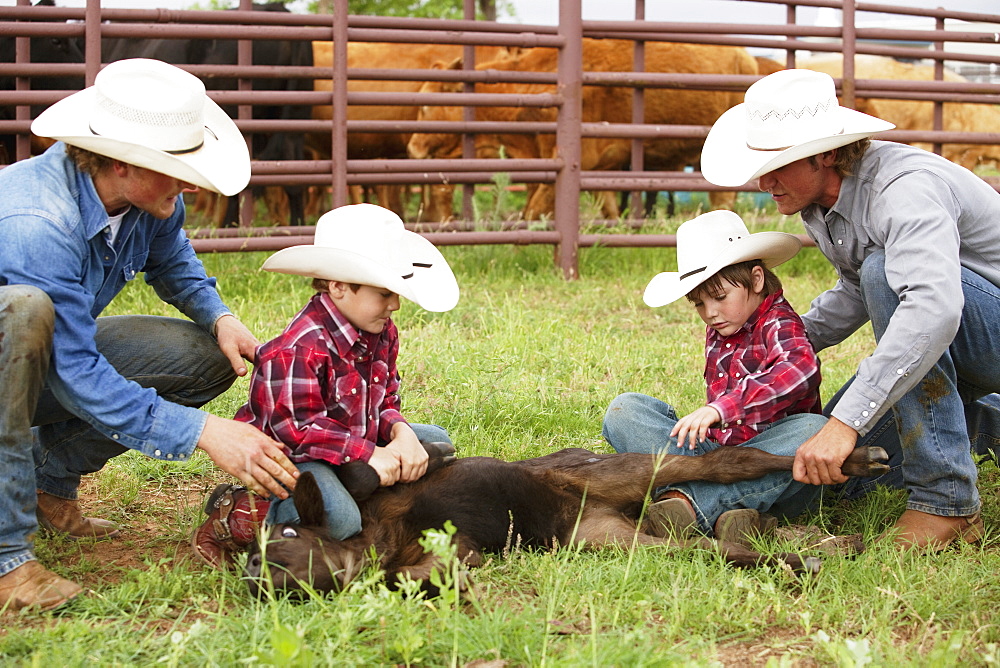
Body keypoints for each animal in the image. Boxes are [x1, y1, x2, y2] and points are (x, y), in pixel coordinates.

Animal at [402, 39, 752, 219]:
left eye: (426, 106)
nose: (412, 148)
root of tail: (744, 57)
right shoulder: (600, 169)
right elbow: (609, 210)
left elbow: (533, 211)